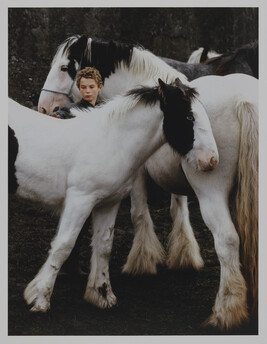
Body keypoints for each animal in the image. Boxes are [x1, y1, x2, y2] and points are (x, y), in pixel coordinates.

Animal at [9, 78, 220, 314]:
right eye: (189, 117)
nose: (211, 160)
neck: (110, 142)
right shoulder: (79, 200)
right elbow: (63, 245)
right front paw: (40, 299)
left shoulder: (108, 203)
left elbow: (104, 246)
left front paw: (102, 295)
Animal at [36, 36, 258, 330]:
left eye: (63, 67)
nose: (45, 109)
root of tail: (244, 99)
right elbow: (178, 209)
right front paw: (183, 255)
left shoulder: (138, 173)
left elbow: (139, 213)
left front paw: (142, 261)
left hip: (211, 192)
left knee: (227, 240)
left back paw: (226, 310)